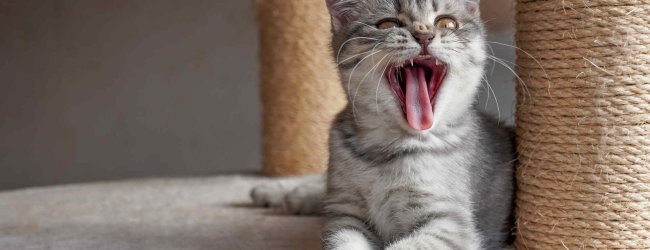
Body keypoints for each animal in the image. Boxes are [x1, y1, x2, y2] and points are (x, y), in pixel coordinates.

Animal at [251, 0, 512, 249]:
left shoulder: (449, 224)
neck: (388, 150)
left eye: (447, 23)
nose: (424, 35)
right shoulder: (345, 216)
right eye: (387, 24)